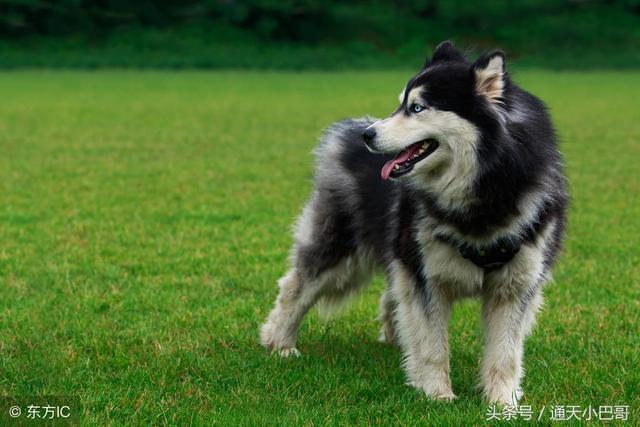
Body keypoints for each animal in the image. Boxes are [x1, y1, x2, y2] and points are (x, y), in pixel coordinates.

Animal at [258, 41, 568, 406]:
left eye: (417, 108)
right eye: (400, 104)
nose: (368, 135)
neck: (484, 192)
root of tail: (345, 131)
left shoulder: (515, 285)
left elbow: (505, 354)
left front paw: (502, 403)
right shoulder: (425, 277)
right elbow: (432, 344)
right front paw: (437, 394)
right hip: (344, 254)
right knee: (295, 287)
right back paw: (279, 342)